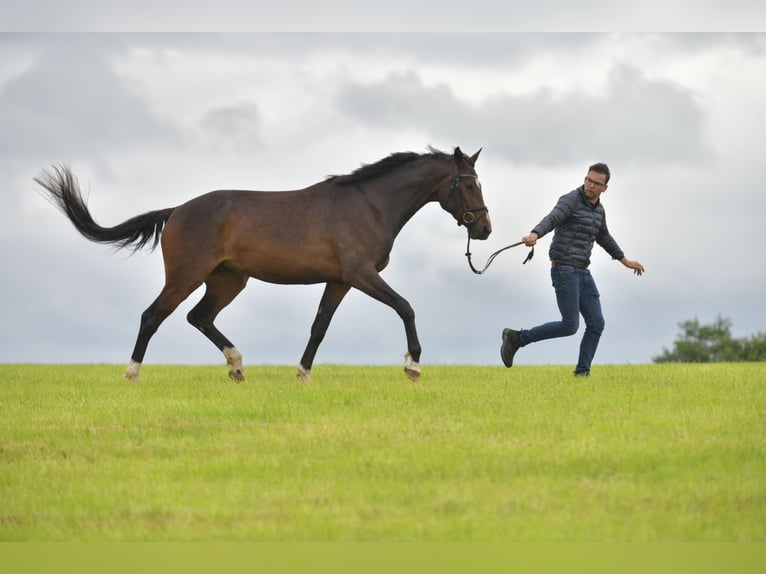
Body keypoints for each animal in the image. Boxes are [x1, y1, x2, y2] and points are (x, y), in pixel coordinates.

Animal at [34, 146, 492, 384]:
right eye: (469, 184)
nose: (485, 229)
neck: (369, 204)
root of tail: (177, 210)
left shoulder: (340, 280)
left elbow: (319, 326)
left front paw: (303, 374)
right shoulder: (362, 274)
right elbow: (405, 307)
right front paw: (413, 365)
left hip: (228, 281)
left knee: (199, 317)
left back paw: (236, 365)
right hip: (186, 275)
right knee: (153, 315)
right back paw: (132, 373)